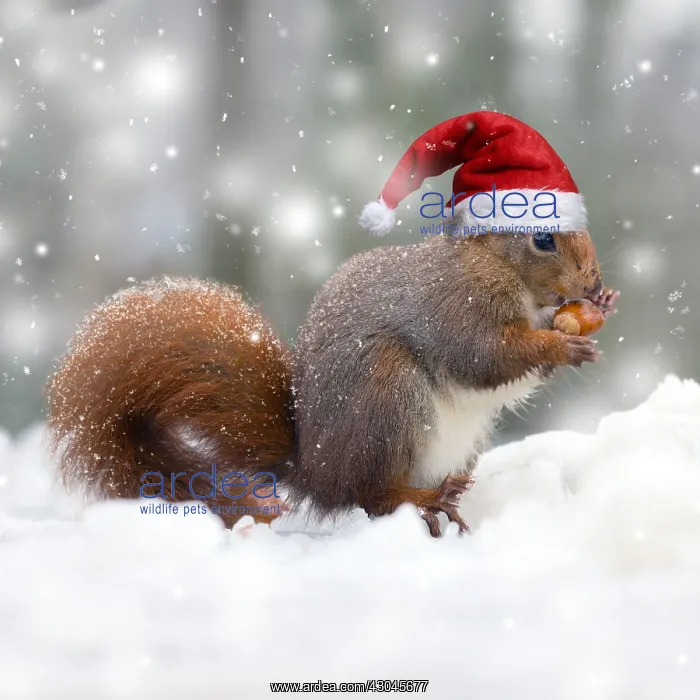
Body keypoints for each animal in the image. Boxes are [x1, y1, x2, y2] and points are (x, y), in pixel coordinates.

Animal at [46, 111, 619, 537]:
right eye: (543, 239)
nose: (593, 280)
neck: (501, 270)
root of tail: (317, 470)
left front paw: (601, 306)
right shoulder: (457, 305)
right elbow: (482, 356)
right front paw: (561, 347)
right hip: (388, 395)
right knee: (371, 496)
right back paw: (427, 498)